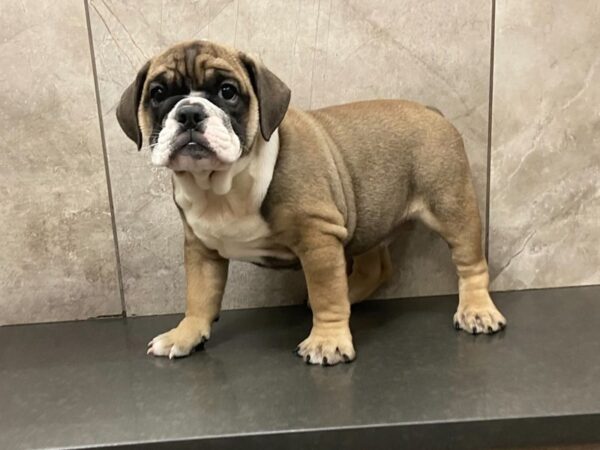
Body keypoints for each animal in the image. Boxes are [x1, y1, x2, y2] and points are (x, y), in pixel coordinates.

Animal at [116, 39, 506, 366]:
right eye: (158, 94)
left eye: (228, 92)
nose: (190, 112)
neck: (220, 184)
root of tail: (431, 111)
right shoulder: (201, 249)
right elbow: (198, 295)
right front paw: (185, 334)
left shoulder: (318, 238)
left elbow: (325, 294)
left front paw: (327, 340)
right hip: (366, 215)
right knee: (375, 266)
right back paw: (353, 293)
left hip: (452, 206)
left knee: (470, 262)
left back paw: (477, 310)